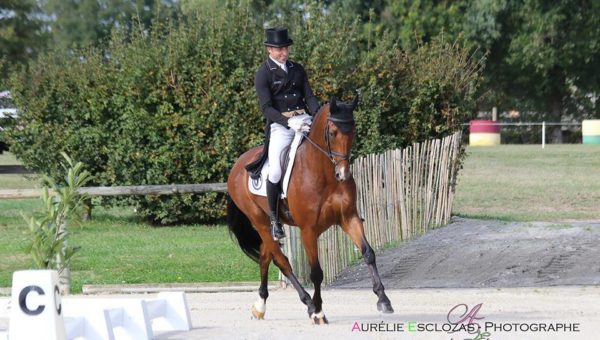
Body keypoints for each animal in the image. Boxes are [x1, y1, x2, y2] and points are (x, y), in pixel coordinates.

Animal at [226, 93, 394, 324]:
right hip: (259, 221)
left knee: (265, 256)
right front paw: (318, 312)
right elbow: (316, 272)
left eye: (353, 131)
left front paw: (383, 300)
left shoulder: (349, 217)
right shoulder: (308, 230)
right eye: (332, 133)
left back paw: (260, 306)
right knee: (282, 261)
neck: (325, 174)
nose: (343, 174)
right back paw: (308, 303)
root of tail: (237, 165)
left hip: (268, 226)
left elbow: (368, 253)